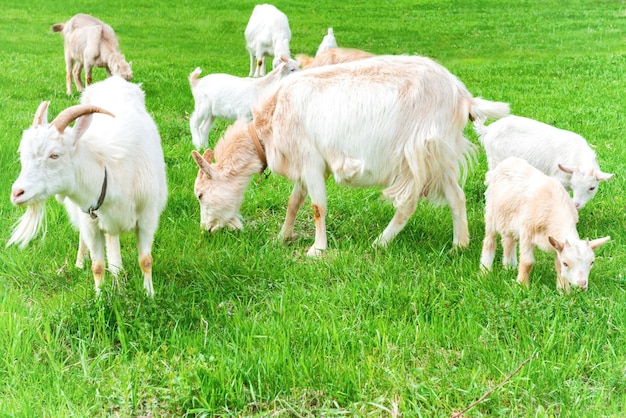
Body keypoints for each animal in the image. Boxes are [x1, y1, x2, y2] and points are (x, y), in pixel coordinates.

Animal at [10, 76, 166, 298]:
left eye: (55, 154)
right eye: (22, 154)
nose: (17, 193)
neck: (109, 173)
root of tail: (113, 79)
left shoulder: (147, 218)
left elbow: (145, 260)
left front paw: (149, 295)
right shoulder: (90, 221)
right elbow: (98, 266)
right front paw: (100, 298)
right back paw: (82, 263)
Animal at [189, 54, 508, 255]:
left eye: (201, 195)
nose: (206, 230)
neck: (270, 122)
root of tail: (463, 97)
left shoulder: (310, 161)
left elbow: (317, 206)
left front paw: (317, 250)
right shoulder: (305, 167)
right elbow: (294, 203)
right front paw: (282, 237)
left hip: (416, 154)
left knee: (408, 204)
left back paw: (380, 243)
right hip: (440, 155)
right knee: (457, 197)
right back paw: (459, 245)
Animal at [472, 115, 608, 209]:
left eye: (592, 188)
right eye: (573, 185)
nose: (576, 205)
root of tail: (488, 130)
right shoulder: (558, 178)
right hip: (496, 159)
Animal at [478, 158, 608, 294]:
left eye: (592, 262)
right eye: (566, 263)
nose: (582, 285)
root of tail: (509, 160)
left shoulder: (556, 243)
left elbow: (558, 266)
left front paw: (564, 292)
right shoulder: (526, 232)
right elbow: (527, 262)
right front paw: (522, 286)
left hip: (508, 222)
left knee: (508, 242)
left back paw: (509, 267)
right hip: (491, 214)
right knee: (489, 242)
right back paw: (485, 271)